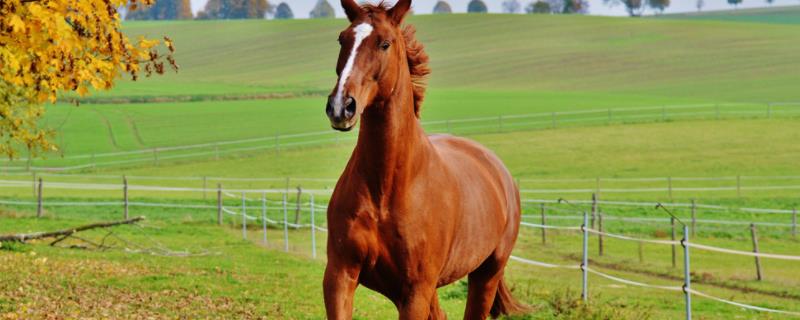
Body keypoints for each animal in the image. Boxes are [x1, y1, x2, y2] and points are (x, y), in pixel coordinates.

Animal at [322, 1, 528, 318]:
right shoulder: (340, 277)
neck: (386, 188)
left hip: (485, 275)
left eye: (384, 43)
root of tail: (500, 172)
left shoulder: (415, 290)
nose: (341, 106)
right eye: (342, 39)